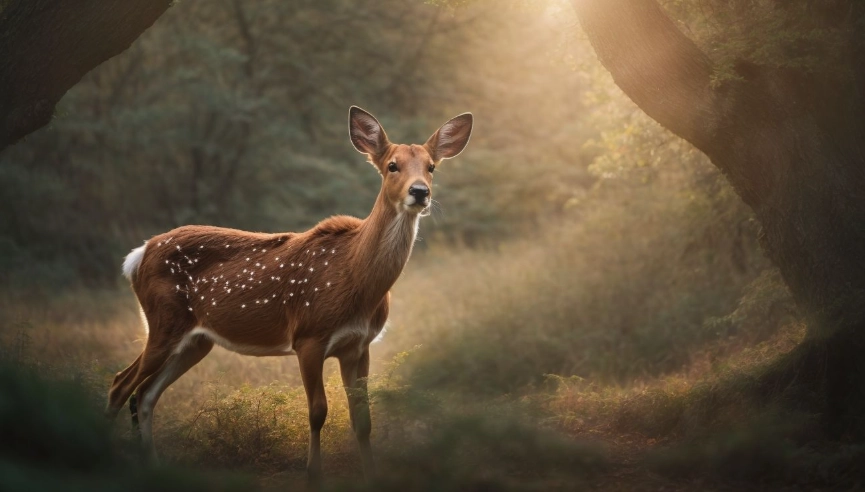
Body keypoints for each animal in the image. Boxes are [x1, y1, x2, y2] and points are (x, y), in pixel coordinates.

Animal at [105, 106, 473, 482]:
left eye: (431, 166)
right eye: (392, 165)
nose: (420, 192)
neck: (355, 279)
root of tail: (138, 256)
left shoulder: (359, 345)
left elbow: (363, 420)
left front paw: (371, 476)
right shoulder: (308, 336)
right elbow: (318, 411)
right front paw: (313, 475)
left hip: (196, 340)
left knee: (145, 394)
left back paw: (153, 466)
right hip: (164, 321)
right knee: (120, 385)